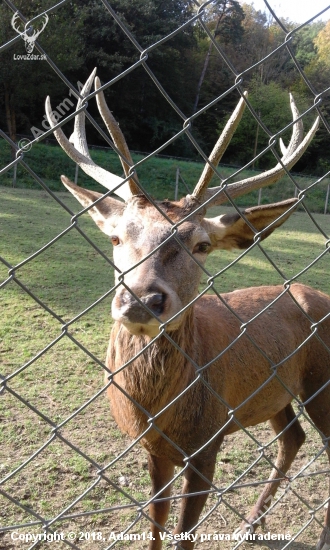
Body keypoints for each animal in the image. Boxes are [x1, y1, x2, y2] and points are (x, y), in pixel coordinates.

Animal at [45, 70, 328, 550]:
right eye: (116, 237)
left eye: (202, 245)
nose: (142, 298)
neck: (161, 414)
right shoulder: (152, 449)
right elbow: (156, 521)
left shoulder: (208, 440)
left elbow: (185, 534)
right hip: (276, 392)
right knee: (293, 437)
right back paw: (251, 522)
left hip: (321, 383)